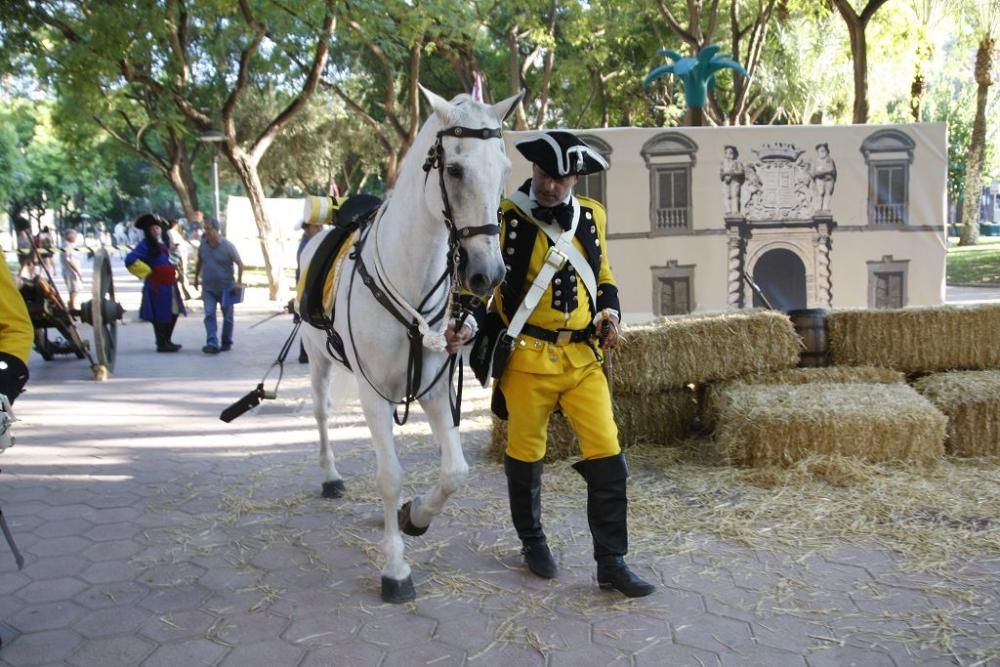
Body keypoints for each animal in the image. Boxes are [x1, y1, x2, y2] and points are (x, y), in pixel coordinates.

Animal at [296, 86, 520, 604]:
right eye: (454, 169)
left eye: (504, 169)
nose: (489, 274)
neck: (408, 275)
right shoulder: (374, 394)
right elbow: (390, 475)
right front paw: (395, 567)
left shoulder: (435, 389)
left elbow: (454, 472)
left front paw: (414, 517)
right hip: (317, 359)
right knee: (321, 414)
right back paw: (330, 476)